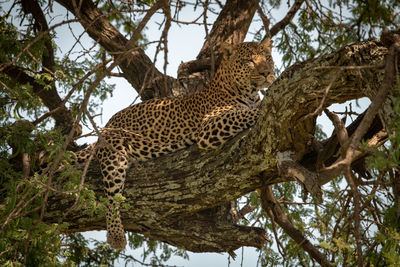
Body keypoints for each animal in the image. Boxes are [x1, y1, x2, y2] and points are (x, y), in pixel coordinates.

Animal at [72, 38, 276, 251]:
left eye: (268, 58)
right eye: (249, 61)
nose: (267, 73)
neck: (249, 94)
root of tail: (107, 126)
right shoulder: (209, 126)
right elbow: (243, 113)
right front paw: (260, 107)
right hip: (115, 155)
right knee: (112, 197)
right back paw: (116, 236)